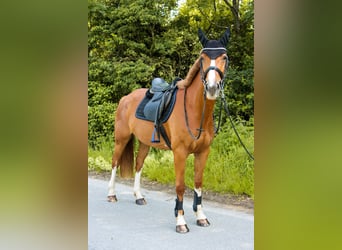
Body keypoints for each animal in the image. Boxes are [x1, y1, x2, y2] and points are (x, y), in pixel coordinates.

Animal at [107, 28, 230, 233]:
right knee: (115, 162)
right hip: (121, 139)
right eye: (202, 58)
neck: (194, 111)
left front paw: (201, 217)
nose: (212, 88)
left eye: (224, 57)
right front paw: (180, 221)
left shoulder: (203, 152)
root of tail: (126, 98)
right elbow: (180, 186)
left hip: (144, 143)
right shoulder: (179, 153)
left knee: (138, 164)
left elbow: (198, 183)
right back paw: (111, 195)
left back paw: (139, 196)